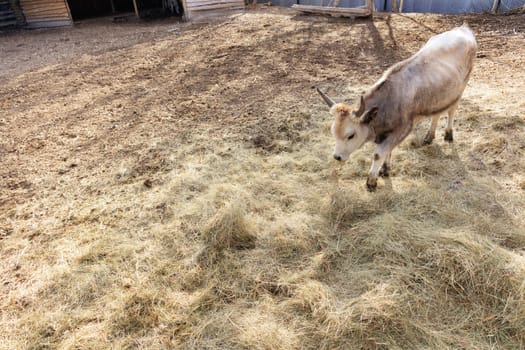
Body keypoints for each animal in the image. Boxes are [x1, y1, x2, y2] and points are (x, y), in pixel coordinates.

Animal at [318, 23, 476, 191]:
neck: (390, 99)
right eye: (333, 132)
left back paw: (448, 134)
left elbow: (378, 154)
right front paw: (385, 170)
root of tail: (463, 29)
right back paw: (429, 136)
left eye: (351, 135)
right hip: (439, 96)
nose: (337, 157)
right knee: (437, 113)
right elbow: (388, 151)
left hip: (459, 90)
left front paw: (371, 181)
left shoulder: (403, 129)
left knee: (452, 111)